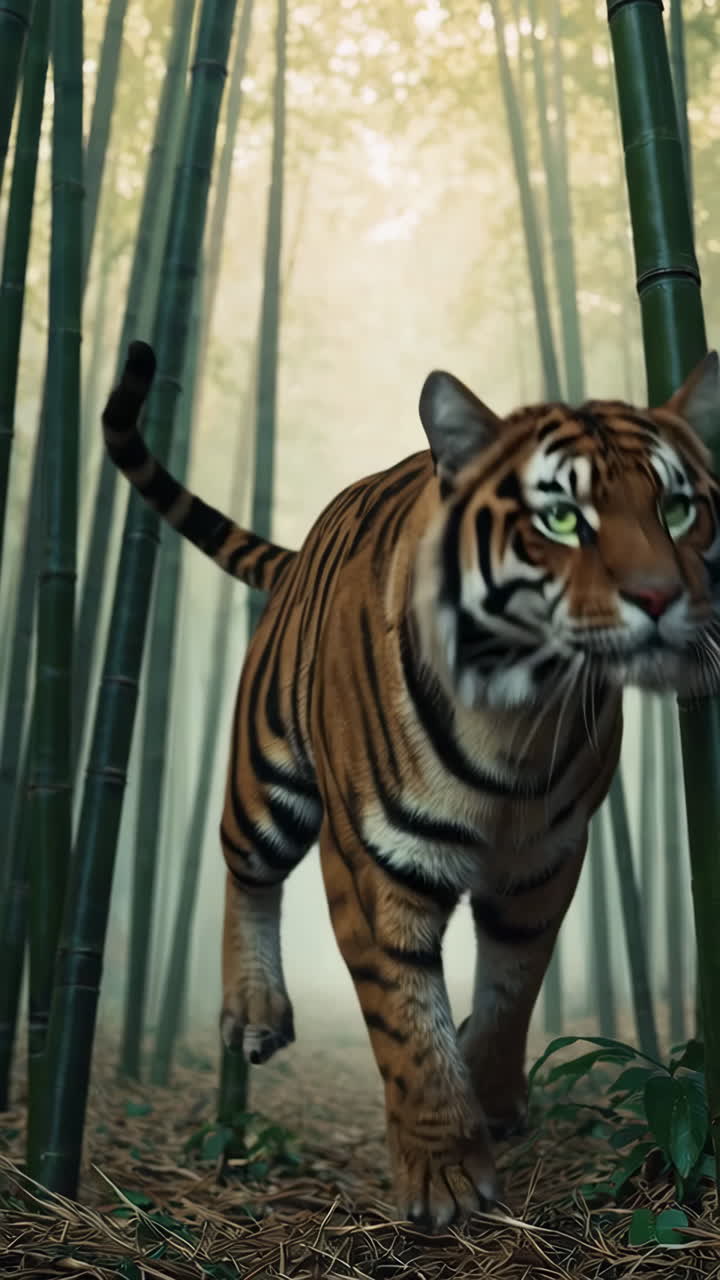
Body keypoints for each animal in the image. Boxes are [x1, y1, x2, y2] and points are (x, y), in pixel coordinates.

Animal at [103, 340, 720, 1230]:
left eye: (677, 510)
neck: (520, 715)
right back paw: (253, 1011)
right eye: (562, 519)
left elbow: (512, 986)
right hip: (264, 776)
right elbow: (403, 1015)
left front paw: (491, 1097)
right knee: (244, 870)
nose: (661, 599)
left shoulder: (546, 861)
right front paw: (446, 1176)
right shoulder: (370, 861)